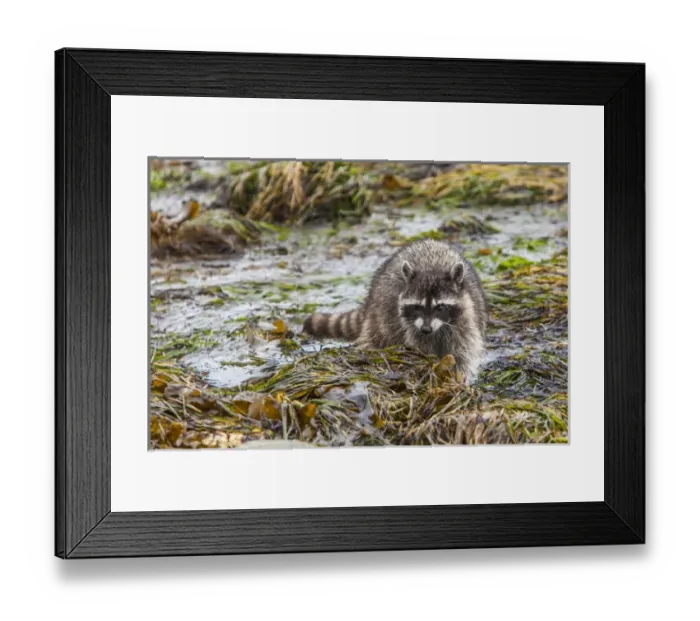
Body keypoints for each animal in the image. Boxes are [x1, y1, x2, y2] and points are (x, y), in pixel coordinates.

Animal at [303, 239, 488, 382]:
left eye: (440, 307)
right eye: (417, 306)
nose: (426, 329)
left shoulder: (466, 319)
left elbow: (463, 352)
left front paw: (460, 378)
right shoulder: (412, 328)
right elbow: (421, 347)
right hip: (380, 315)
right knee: (377, 335)